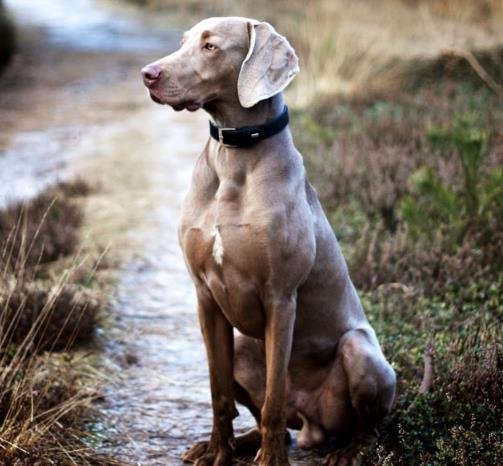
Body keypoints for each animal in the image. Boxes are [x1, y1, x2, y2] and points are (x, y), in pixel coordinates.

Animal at [140, 16, 396, 466]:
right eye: (184, 41)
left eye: (210, 47)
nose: (147, 74)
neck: (234, 158)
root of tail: (312, 425)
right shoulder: (205, 298)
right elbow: (218, 392)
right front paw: (218, 451)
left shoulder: (280, 297)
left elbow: (274, 399)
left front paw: (270, 460)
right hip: (244, 346)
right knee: (259, 414)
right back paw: (234, 444)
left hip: (360, 351)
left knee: (360, 424)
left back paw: (347, 452)